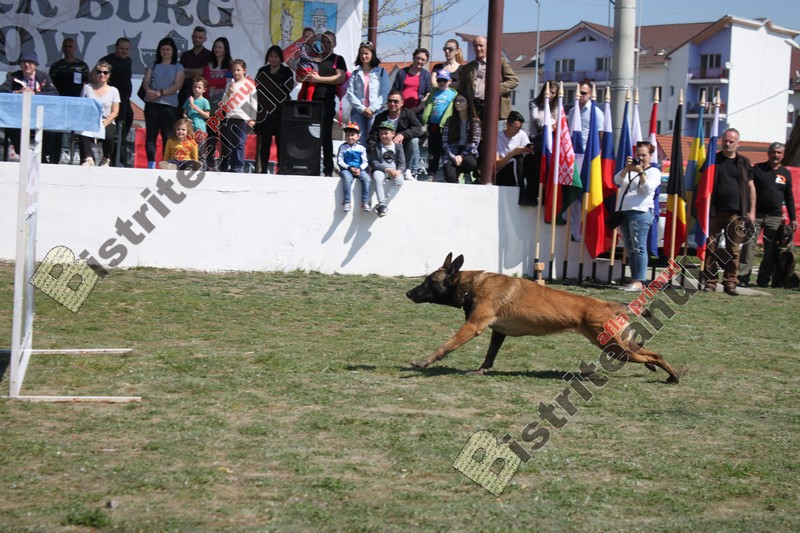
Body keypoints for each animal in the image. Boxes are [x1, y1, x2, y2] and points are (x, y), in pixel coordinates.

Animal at [405, 253, 680, 383]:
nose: (408, 293)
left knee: (654, 354)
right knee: (646, 350)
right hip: (619, 345)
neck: (470, 284)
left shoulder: (473, 326)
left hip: (614, 347)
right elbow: (490, 356)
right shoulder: (498, 332)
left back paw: (672, 376)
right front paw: (481, 370)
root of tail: (606, 304)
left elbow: (446, 346)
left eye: (429, 281)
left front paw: (423, 362)